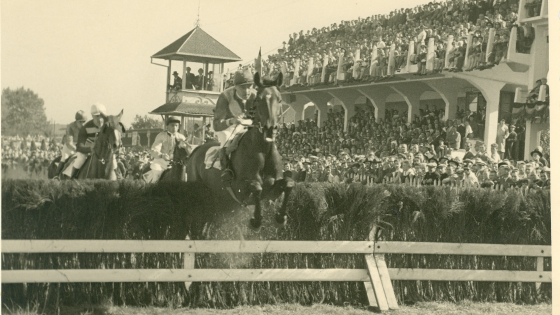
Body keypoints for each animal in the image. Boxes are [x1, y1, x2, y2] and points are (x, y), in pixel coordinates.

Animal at [187, 73, 296, 231]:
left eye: (279, 99)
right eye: (259, 100)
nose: (270, 129)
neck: (262, 149)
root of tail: (195, 151)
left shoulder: (272, 191)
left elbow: (288, 183)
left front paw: (281, 218)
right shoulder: (241, 190)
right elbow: (257, 188)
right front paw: (256, 221)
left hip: (220, 202)